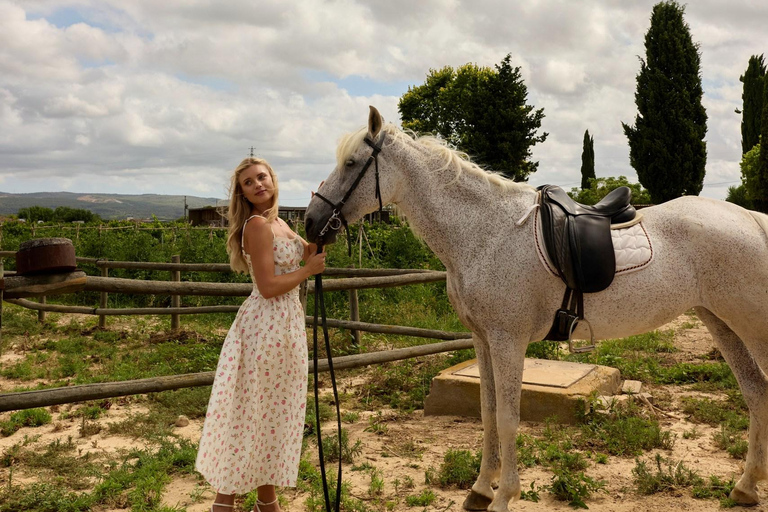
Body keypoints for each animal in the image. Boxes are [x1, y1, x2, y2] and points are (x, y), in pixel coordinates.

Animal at [304, 106, 768, 512]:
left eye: (352, 162)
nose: (310, 222)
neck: (485, 232)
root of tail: (751, 219)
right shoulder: (483, 339)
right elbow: (488, 413)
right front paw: (480, 488)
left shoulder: (508, 341)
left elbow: (509, 417)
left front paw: (504, 495)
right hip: (721, 322)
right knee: (756, 393)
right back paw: (744, 487)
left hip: (752, 326)